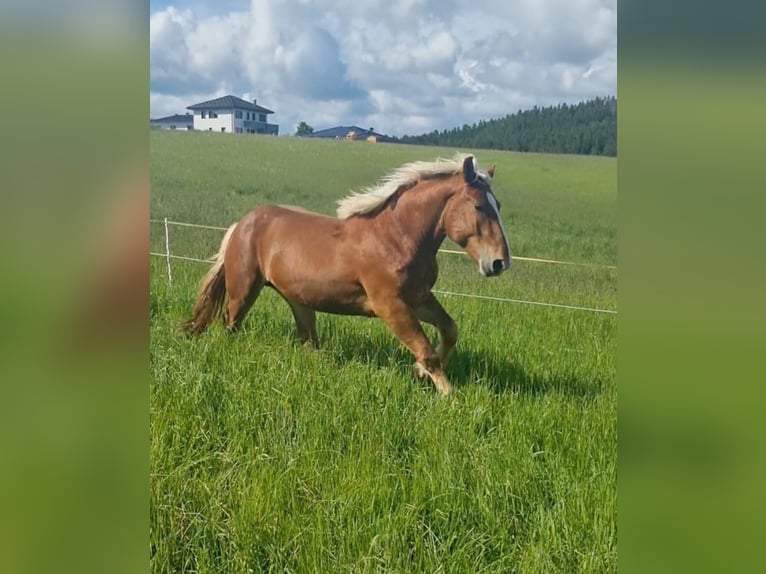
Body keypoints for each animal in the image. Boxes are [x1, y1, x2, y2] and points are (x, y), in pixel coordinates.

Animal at [183, 154, 512, 396]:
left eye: (498, 205)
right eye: (479, 206)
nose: (499, 263)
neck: (397, 237)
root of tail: (241, 224)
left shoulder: (418, 298)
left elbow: (449, 330)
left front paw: (418, 372)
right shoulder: (390, 306)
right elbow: (426, 350)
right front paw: (450, 395)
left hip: (299, 301)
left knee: (308, 340)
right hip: (243, 291)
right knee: (230, 324)